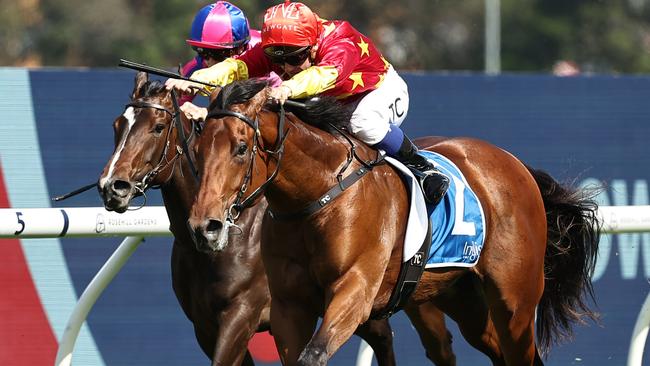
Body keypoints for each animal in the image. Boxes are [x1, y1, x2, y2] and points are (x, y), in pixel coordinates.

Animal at [186, 80, 596, 366]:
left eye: (241, 149)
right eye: (198, 149)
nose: (205, 226)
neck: (316, 196)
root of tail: (516, 164)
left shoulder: (356, 289)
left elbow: (314, 354)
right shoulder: (290, 304)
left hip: (515, 301)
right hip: (460, 296)